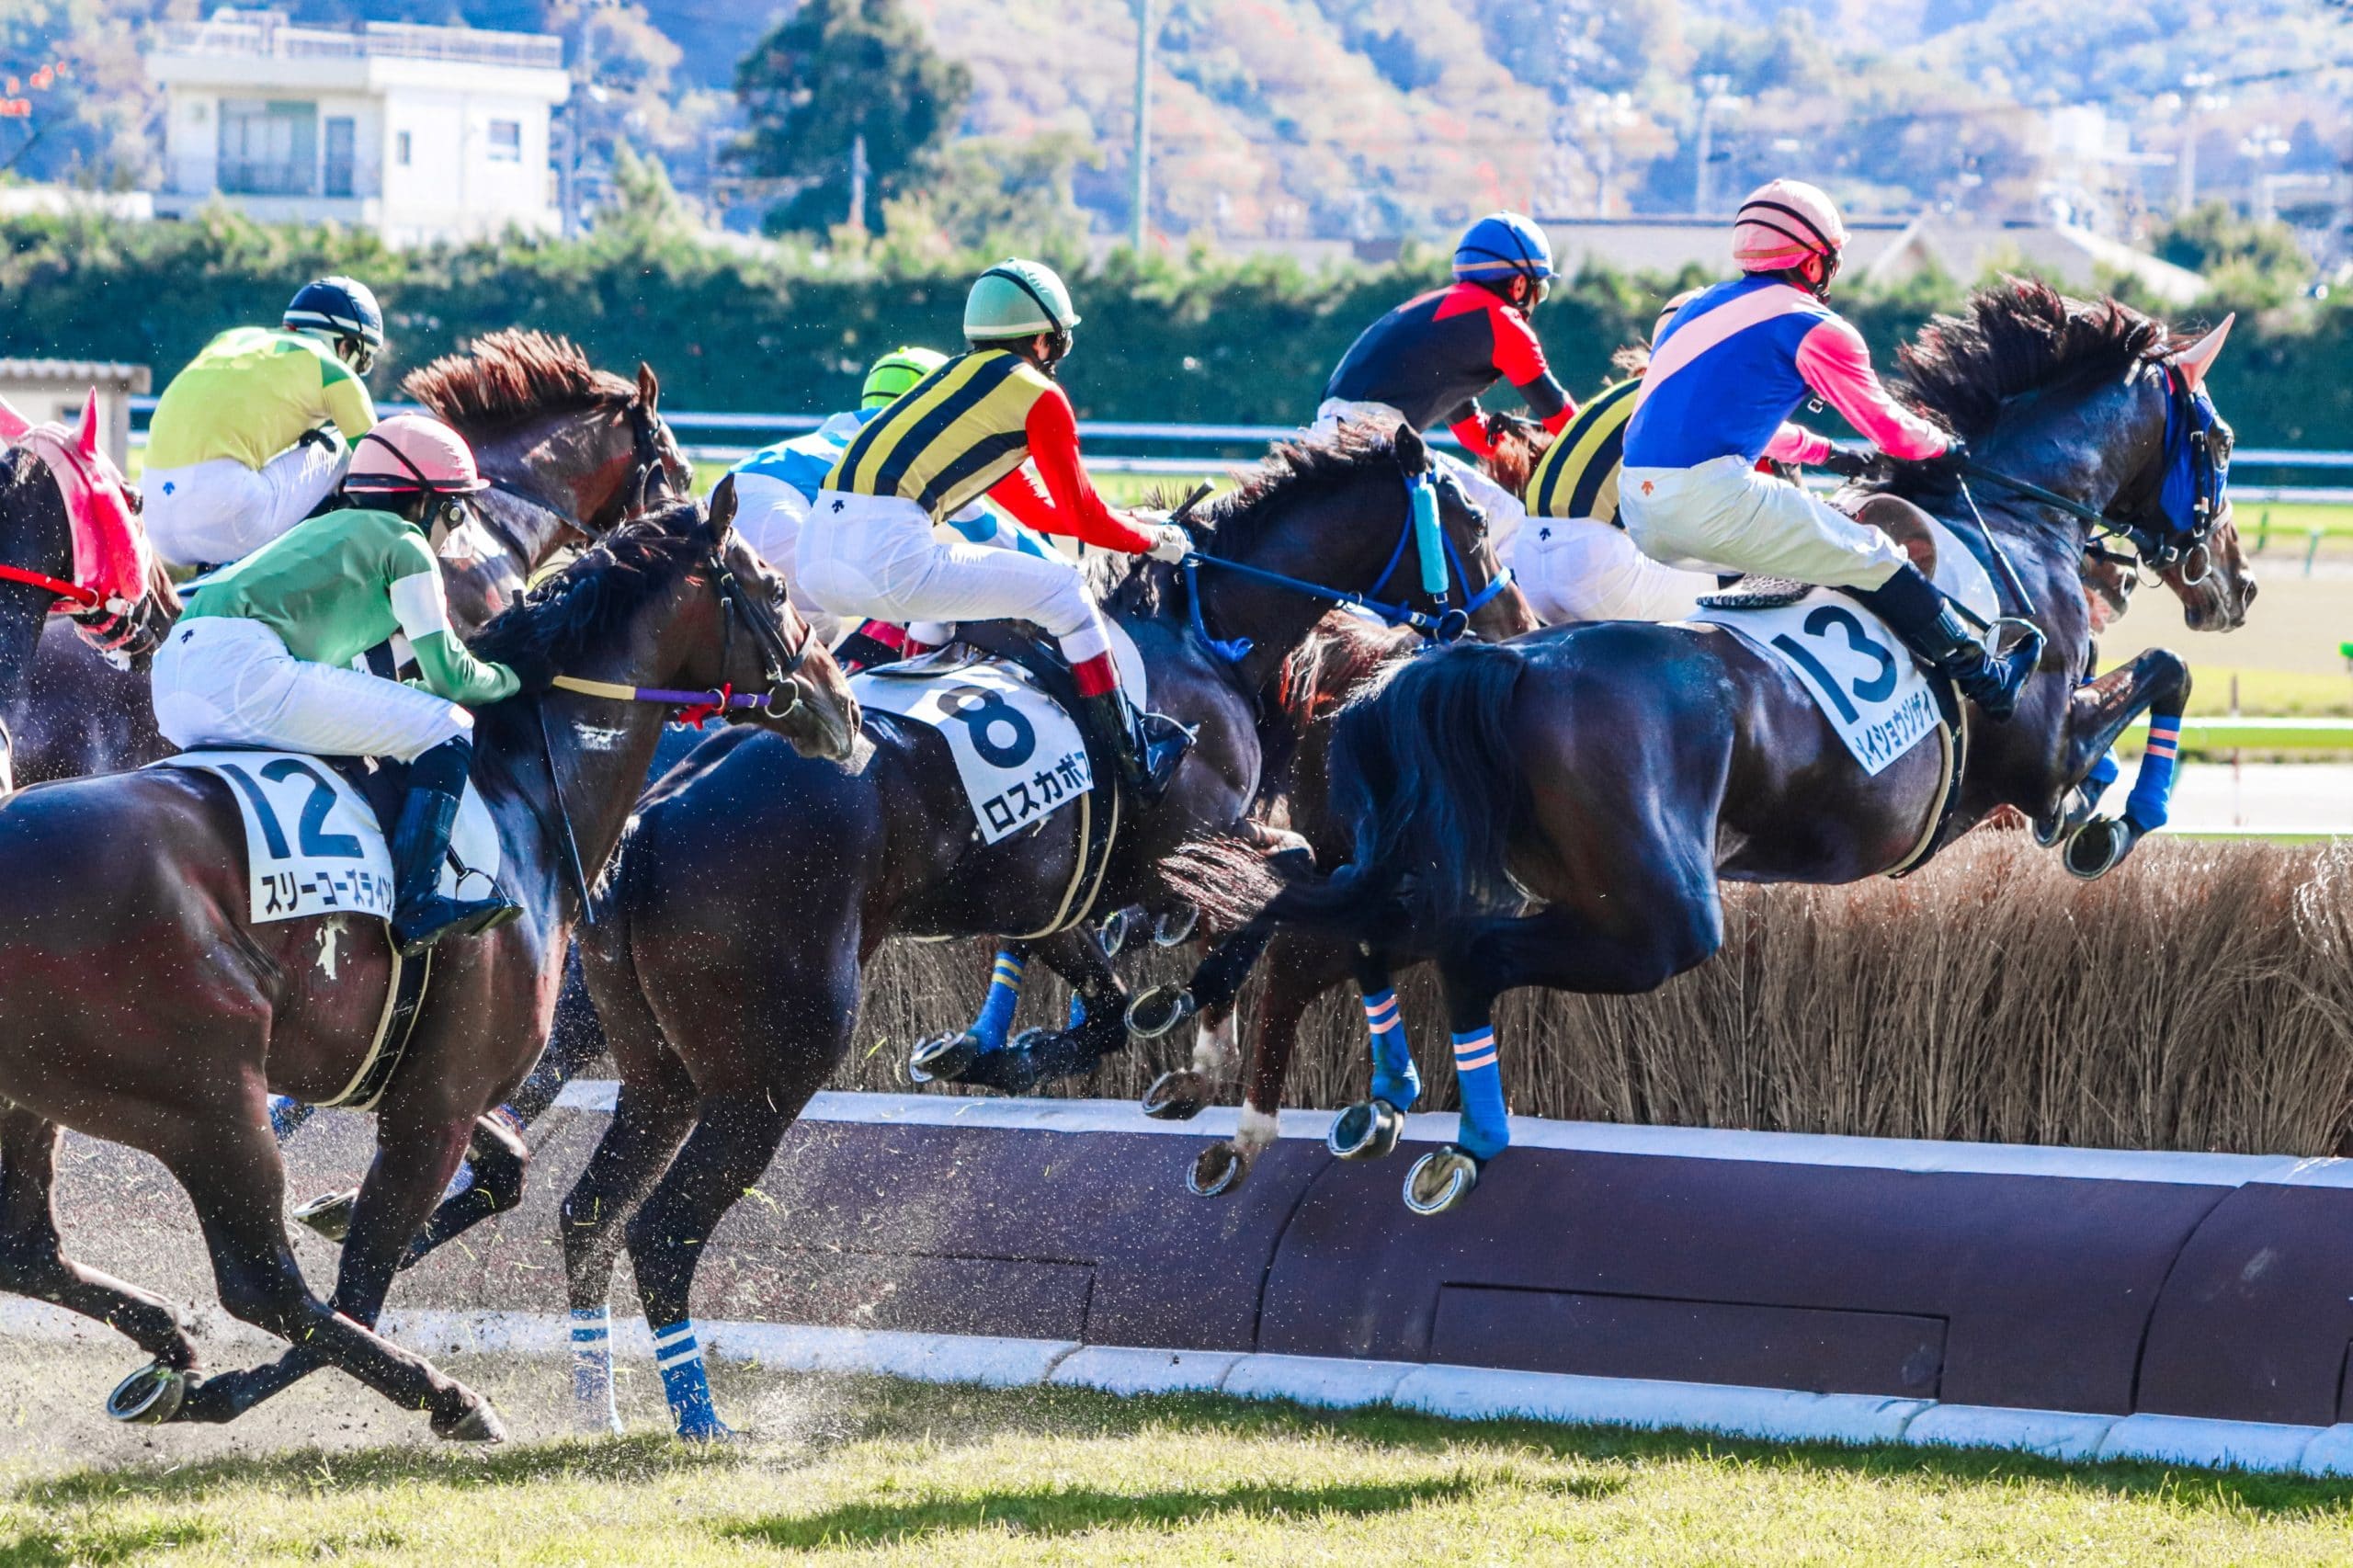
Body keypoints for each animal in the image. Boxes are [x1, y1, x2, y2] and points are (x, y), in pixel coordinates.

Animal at [0, 484, 856, 1431]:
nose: (845, 708)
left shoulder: (422, 1074)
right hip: (207, 1101)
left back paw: (167, 1347)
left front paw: (334, 1214)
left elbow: (501, 1175)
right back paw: (423, 1395)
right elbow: (361, 1289)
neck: (521, 787)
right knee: (263, 1284)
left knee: (29, 1248)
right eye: (774, 587)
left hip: (43, 1095)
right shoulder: (435, 1103)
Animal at [548, 421, 1534, 1431]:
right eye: (1471, 521)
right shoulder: (1193, 835)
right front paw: (1193, 1039)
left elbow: (1101, 1003)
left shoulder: (1048, 892)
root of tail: (647, 824)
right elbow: (1281, 884)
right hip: (772, 1062)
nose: (1516, 629)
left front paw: (1010, 1053)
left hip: (658, 1069)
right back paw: (699, 1418)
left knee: (589, 1213)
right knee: (662, 1228)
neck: (1202, 636)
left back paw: (599, 1405)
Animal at [1166, 281, 2249, 1205]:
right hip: (1657, 917)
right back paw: (1460, 1141)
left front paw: (2101, 809)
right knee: (1459, 957)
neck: (2011, 524)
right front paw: (2119, 818)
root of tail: (1498, 664)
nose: (2229, 583)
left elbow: (2137, 703)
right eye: (2219, 439)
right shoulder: (2033, 749)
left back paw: (1266, 1119)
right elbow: (2160, 677)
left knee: (1328, 940)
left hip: (1450, 867)